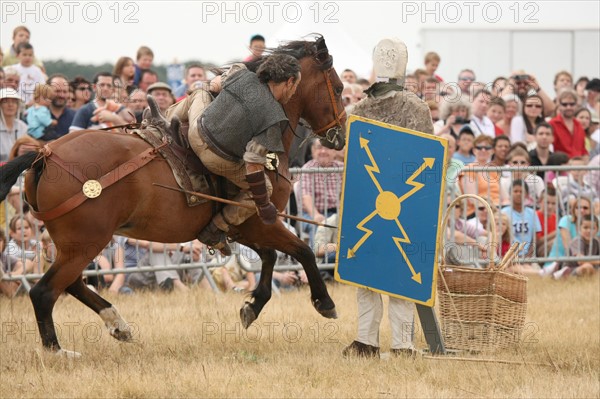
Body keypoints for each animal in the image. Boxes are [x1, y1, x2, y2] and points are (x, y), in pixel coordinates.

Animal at [0, 36, 346, 356]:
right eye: (340, 88)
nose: (340, 134)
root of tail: (45, 154)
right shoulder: (261, 221)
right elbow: (303, 251)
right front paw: (324, 302)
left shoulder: (243, 227)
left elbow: (270, 256)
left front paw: (252, 305)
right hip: (85, 243)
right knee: (44, 292)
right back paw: (57, 350)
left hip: (74, 246)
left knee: (70, 284)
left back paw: (117, 324)